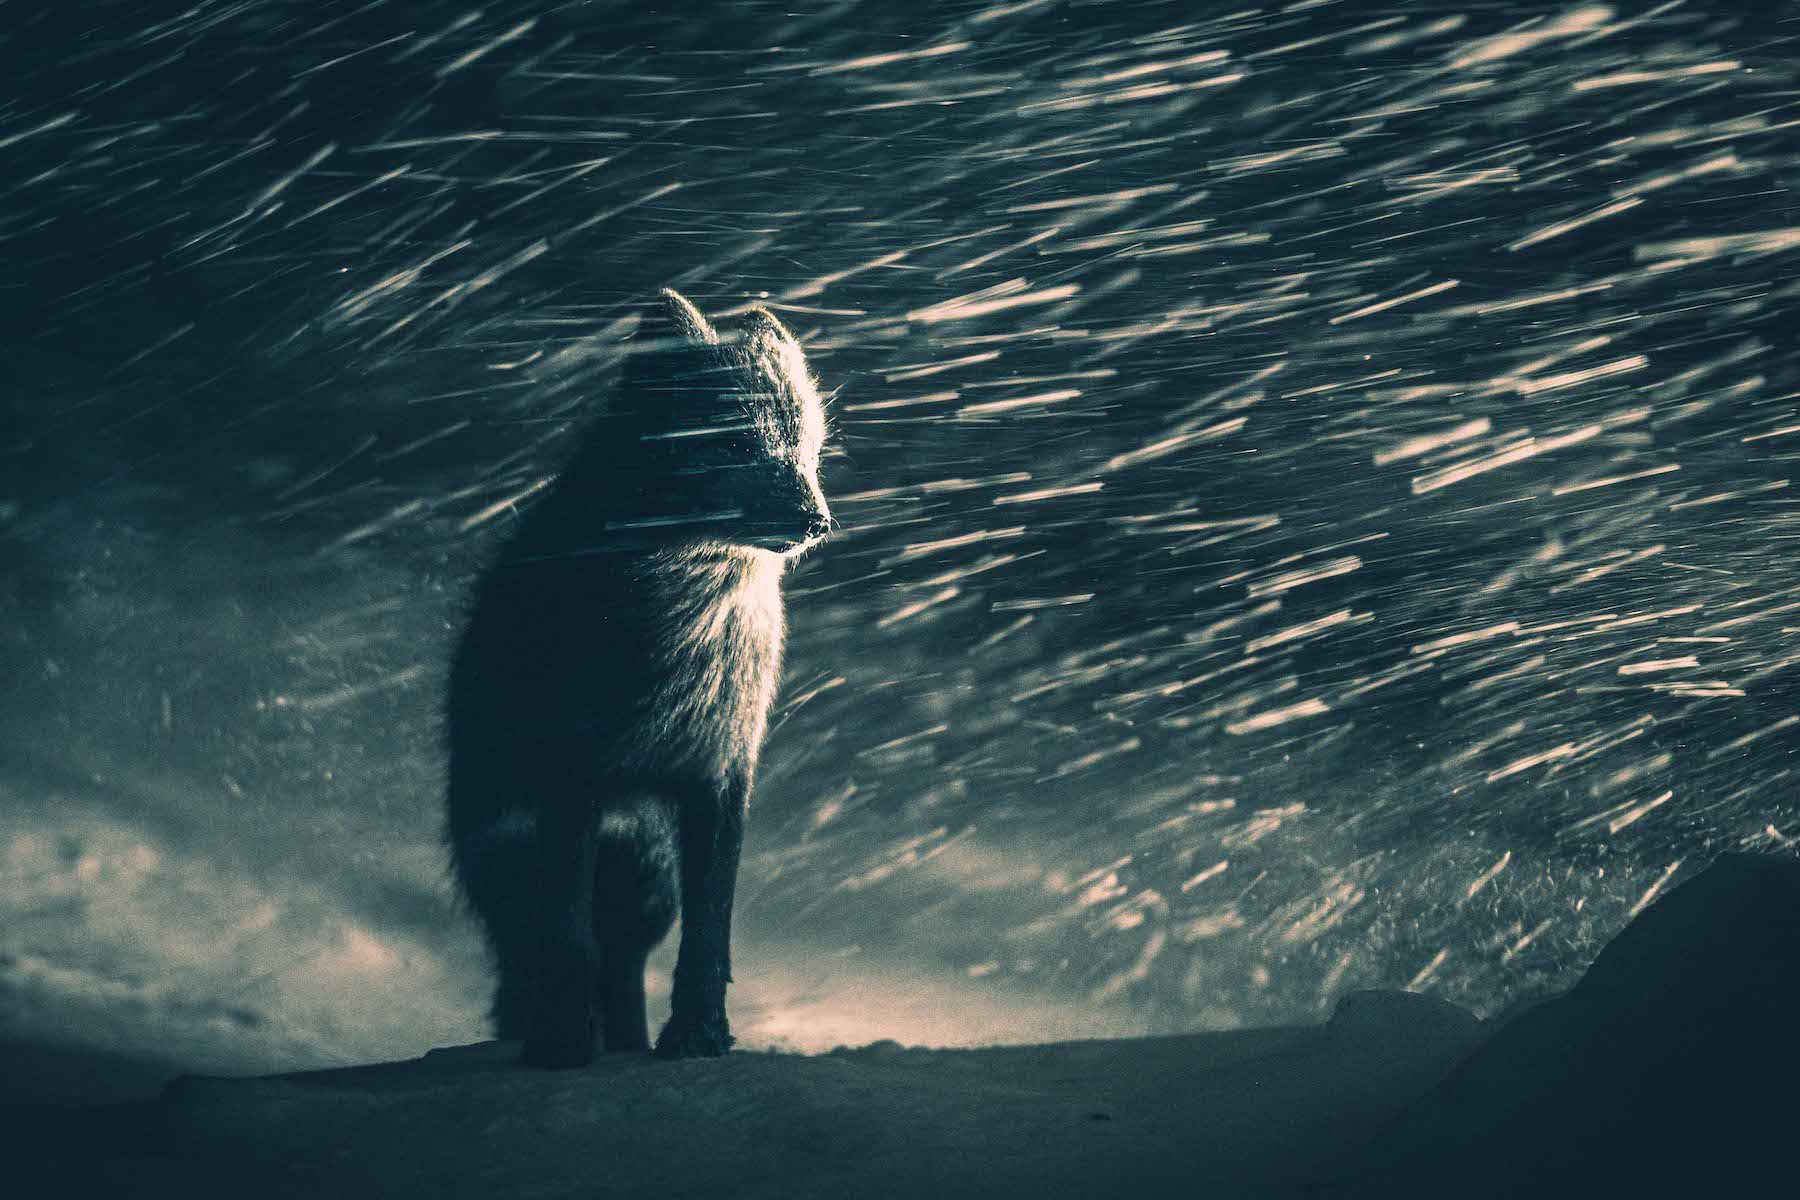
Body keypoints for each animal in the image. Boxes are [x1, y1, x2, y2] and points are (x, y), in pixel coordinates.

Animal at [445, 289, 831, 1067]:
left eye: (809, 449)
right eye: (734, 443)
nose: (817, 521)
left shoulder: (721, 773)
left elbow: (709, 936)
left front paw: (698, 1037)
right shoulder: (574, 774)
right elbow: (568, 940)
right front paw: (562, 1046)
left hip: (647, 887)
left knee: (622, 970)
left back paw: (627, 1042)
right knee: (536, 957)